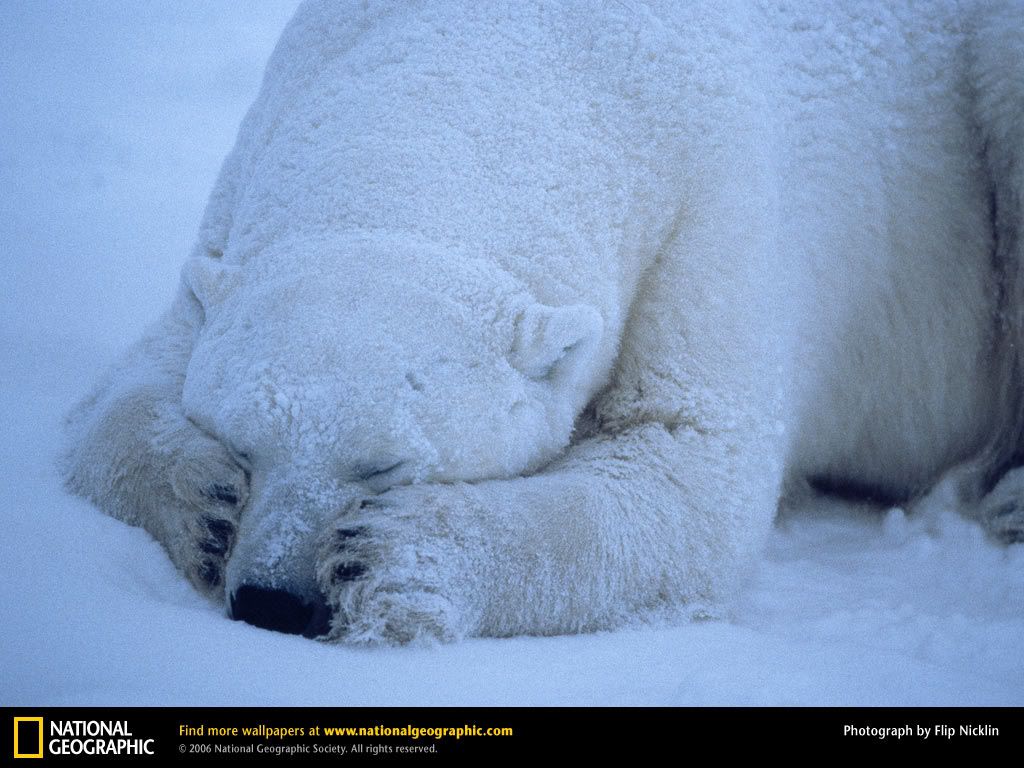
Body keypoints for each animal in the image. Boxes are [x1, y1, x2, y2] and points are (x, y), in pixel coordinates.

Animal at [61, 1, 1024, 643]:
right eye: (243, 441)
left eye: (385, 467)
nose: (274, 601)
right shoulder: (250, 177)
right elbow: (127, 384)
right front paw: (204, 503)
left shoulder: (717, 217)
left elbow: (689, 467)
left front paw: (391, 559)